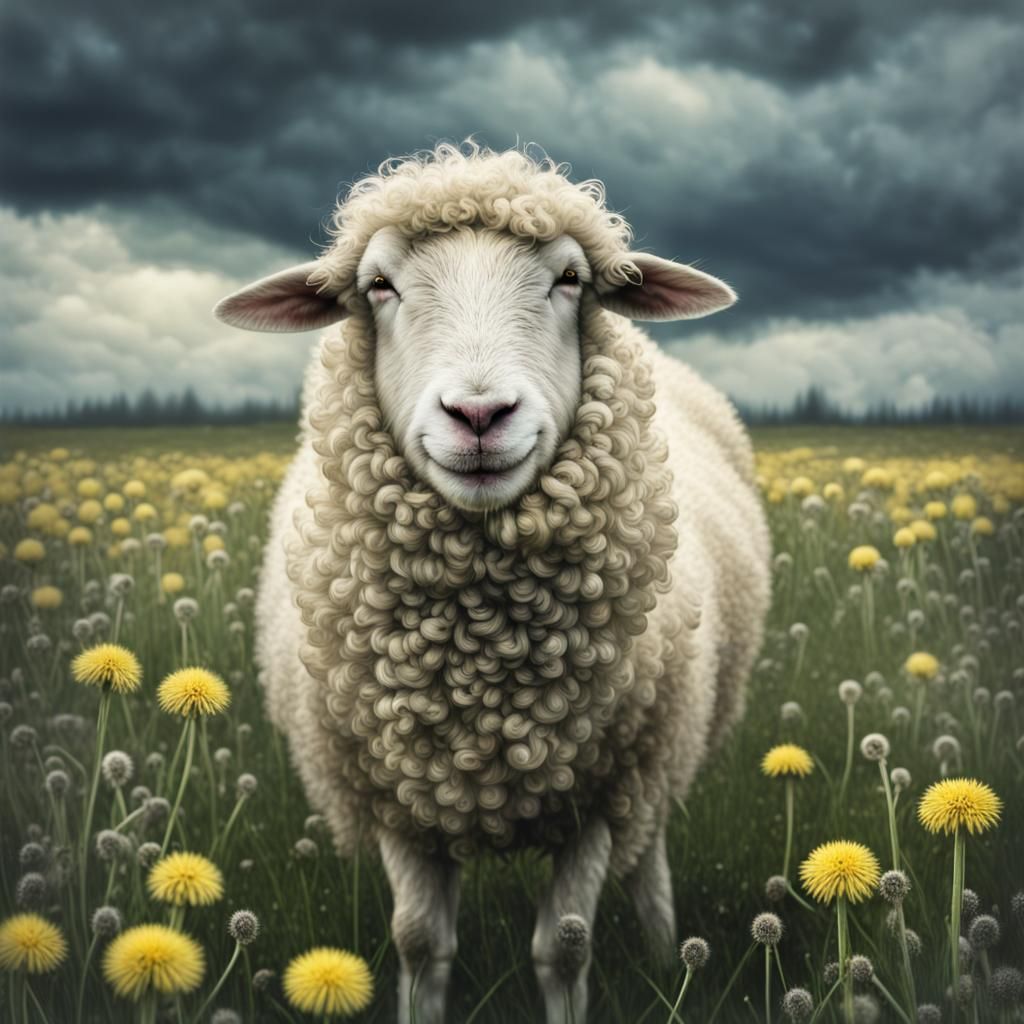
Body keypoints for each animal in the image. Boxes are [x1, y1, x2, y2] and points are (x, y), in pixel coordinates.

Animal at [213, 139, 771, 1024]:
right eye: (379, 284)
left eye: (570, 278)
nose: (479, 416)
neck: (483, 669)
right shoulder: (396, 791)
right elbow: (419, 944)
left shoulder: (599, 791)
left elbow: (563, 947)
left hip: (659, 753)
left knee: (648, 856)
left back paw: (661, 950)